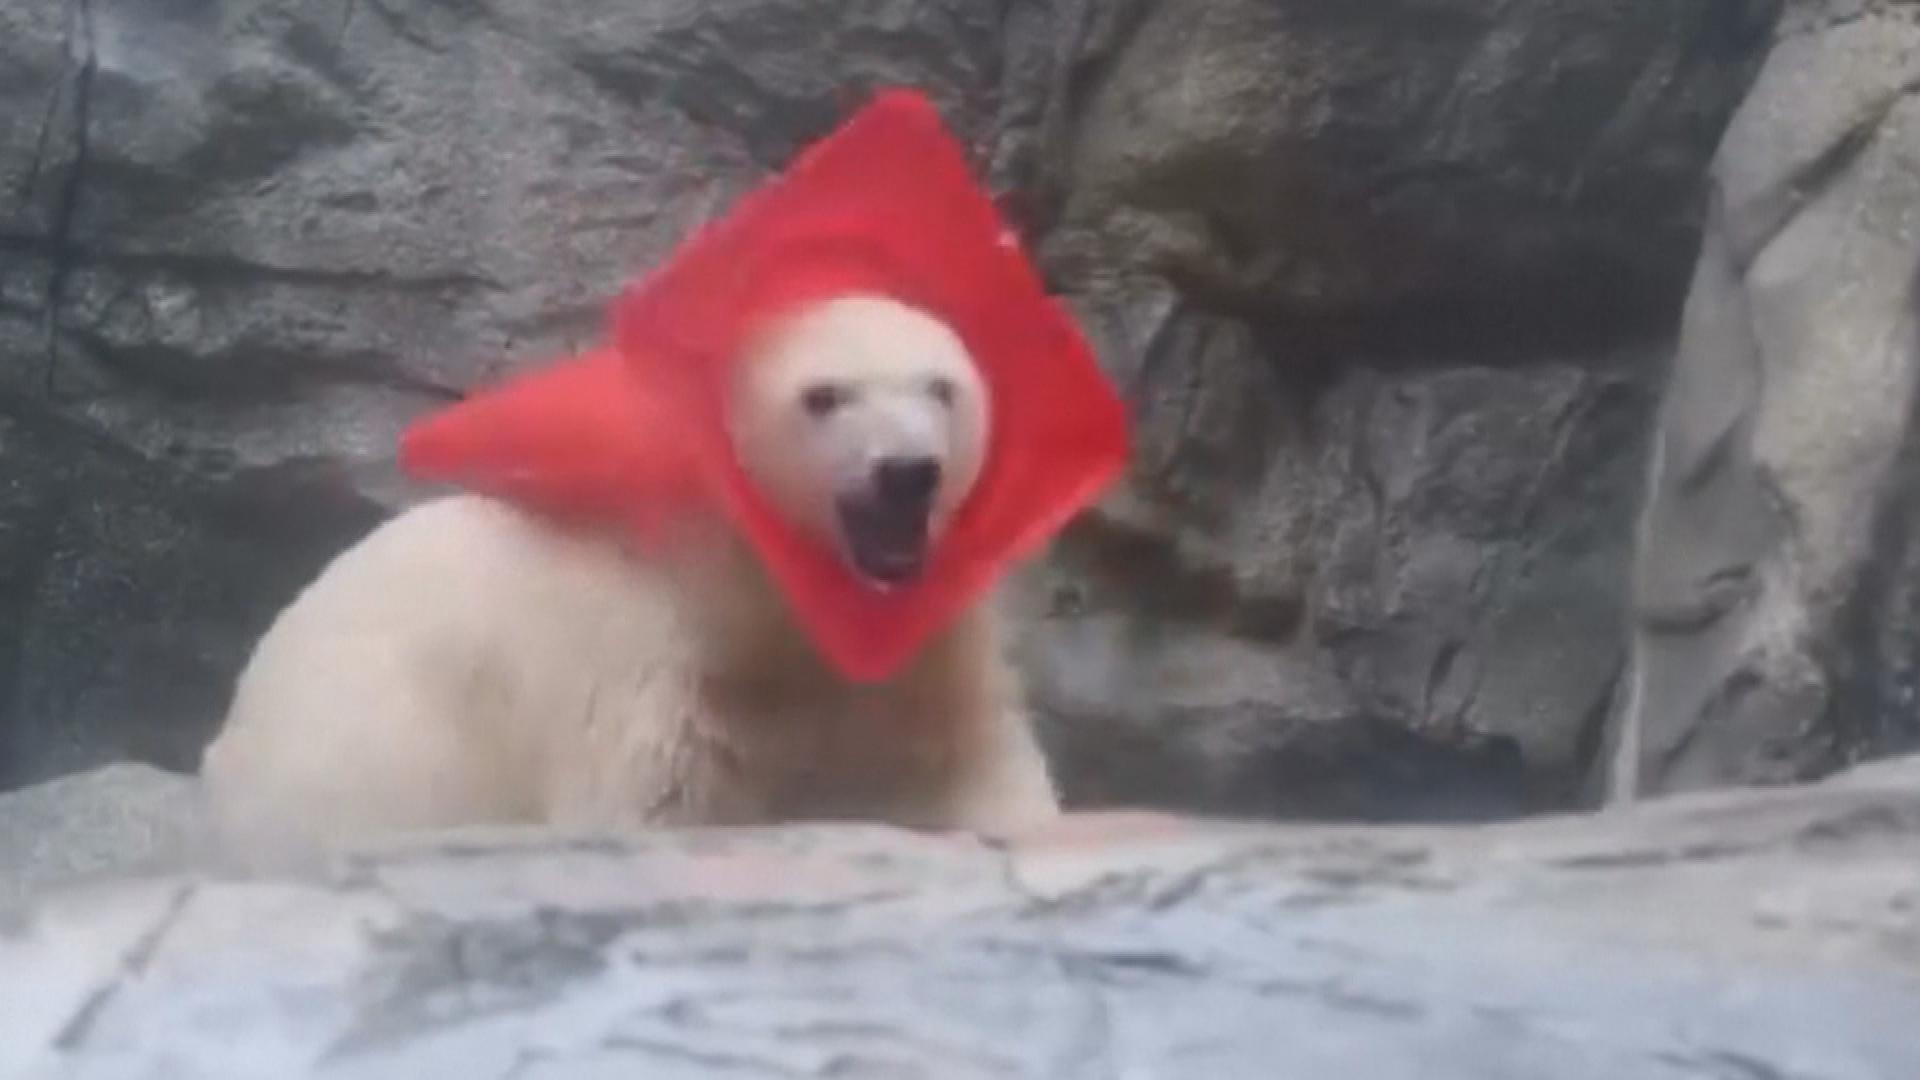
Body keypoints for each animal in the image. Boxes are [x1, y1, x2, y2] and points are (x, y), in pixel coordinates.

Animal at [198, 294, 1062, 870]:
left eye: (940, 386)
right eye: (824, 396)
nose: (907, 473)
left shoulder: (924, 645)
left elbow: (975, 758)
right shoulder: (655, 662)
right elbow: (648, 803)